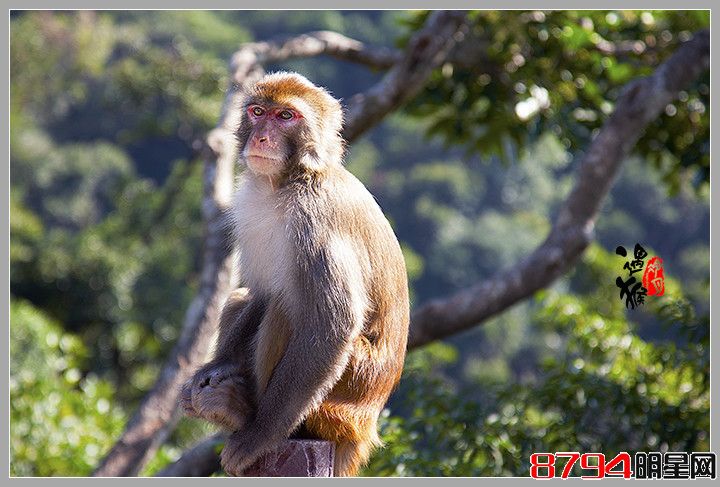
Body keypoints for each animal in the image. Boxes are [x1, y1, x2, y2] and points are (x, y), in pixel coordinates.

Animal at [179, 72, 408, 476]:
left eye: (286, 116)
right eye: (257, 112)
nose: (261, 137)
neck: (291, 179)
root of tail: (365, 426)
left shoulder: (314, 221)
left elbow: (331, 325)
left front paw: (259, 435)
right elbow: (260, 292)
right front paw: (215, 366)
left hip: (345, 394)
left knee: (290, 309)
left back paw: (242, 412)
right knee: (248, 298)